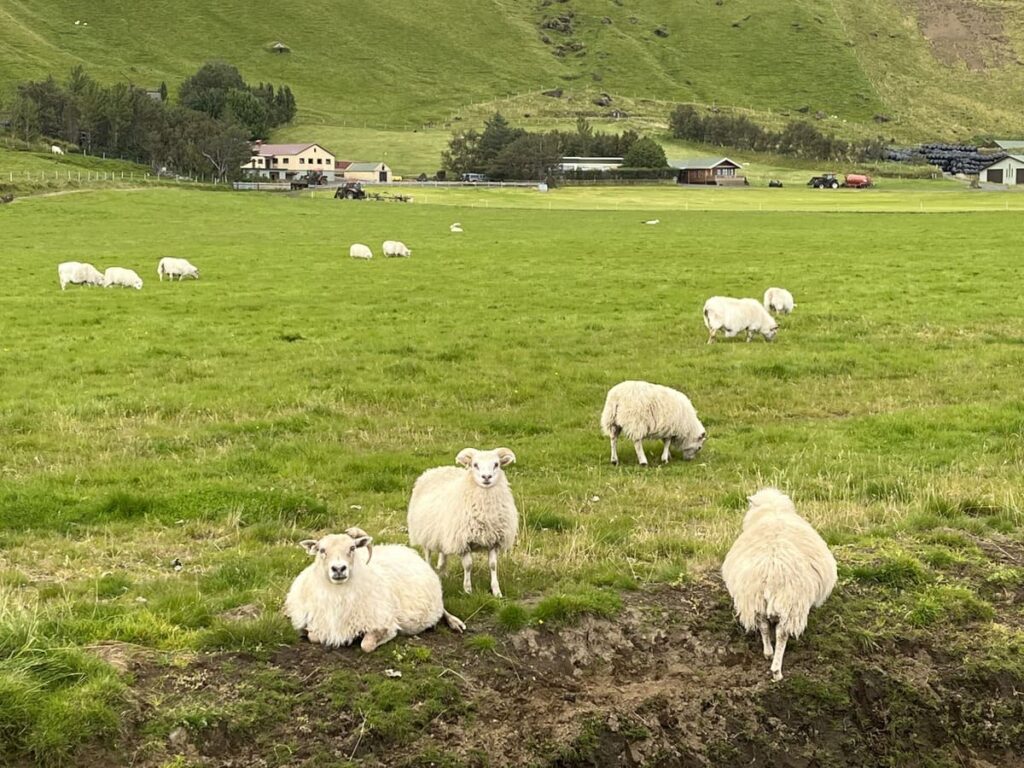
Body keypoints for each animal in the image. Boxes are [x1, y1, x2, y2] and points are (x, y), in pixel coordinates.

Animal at [284, 527, 465, 651]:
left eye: (352, 548)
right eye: (322, 550)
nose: (338, 569)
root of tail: (404, 548)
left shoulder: (384, 622)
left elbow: (367, 645)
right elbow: (313, 636)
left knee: (442, 610)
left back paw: (455, 622)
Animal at [407, 447, 518, 597]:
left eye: (496, 464)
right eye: (475, 465)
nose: (486, 477)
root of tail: (439, 468)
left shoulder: (494, 540)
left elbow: (493, 566)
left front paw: (496, 591)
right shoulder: (463, 540)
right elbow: (468, 565)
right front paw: (468, 590)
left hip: (444, 533)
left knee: (443, 553)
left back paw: (442, 571)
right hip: (426, 532)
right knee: (428, 554)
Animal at [721, 488, 837, 681]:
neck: (772, 510)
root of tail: (771, 570)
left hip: (756, 599)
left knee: (762, 625)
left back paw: (768, 652)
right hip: (791, 602)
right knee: (782, 633)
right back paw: (776, 670)